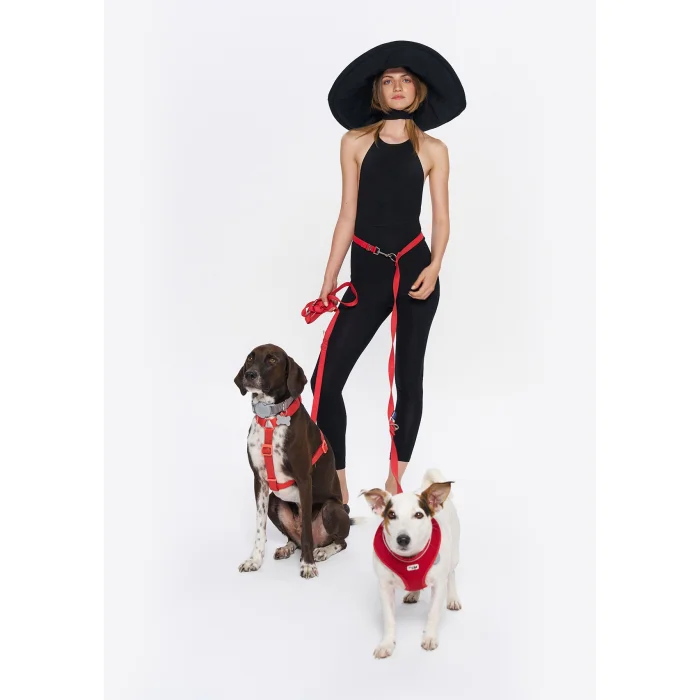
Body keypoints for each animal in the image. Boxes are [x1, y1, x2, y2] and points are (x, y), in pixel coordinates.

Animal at [234, 343, 351, 579]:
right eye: (250, 358)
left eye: (272, 360)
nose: (250, 375)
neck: (270, 418)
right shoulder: (259, 481)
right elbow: (259, 529)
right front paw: (254, 560)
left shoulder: (304, 481)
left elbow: (306, 531)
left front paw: (307, 565)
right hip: (274, 502)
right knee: (294, 538)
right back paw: (287, 547)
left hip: (331, 508)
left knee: (339, 541)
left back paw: (322, 551)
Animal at [362, 469, 461, 658]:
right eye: (392, 515)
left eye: (418, 515)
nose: (403, 539)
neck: (409, 559)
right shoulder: (385, 587)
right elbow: (389, 619)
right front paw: (387, 643)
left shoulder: (439, 584)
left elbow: (433, 613)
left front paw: (429, 637)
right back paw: (413, 593)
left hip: (453, 555)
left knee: (452, 574)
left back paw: (453, 598)